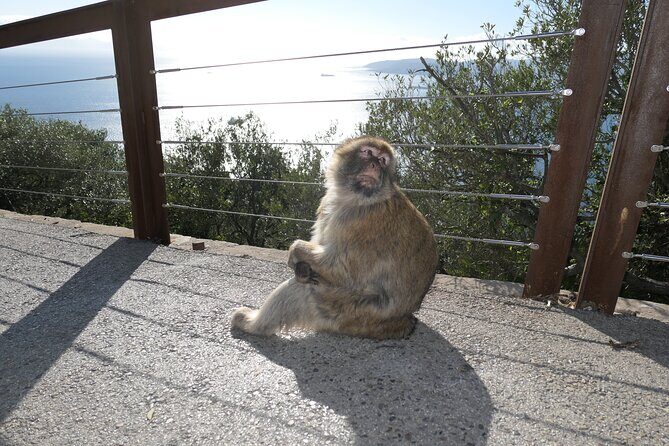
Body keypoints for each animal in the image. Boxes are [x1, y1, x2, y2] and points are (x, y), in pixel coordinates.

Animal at [231, 136, 438, 340]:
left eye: (382, 160)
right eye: (368, 153)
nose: (375, 165)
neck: (354, 198)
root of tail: (400, 322)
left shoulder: (362, 223)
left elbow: (343, 270)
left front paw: (295, 250)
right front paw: (301, 266)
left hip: (345, 311)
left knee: (304, 290)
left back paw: (252, 325)